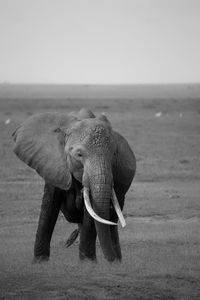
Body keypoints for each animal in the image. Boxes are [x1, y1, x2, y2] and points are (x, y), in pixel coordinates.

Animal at [12, 108, 136, 262]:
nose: (110, 259)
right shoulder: (53, 164)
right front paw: (40, 262)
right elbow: (49, 205)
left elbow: (91, 213)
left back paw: (115, 262)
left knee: (111, 220)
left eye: (114, 155)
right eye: (79, 155)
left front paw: (87, 263)